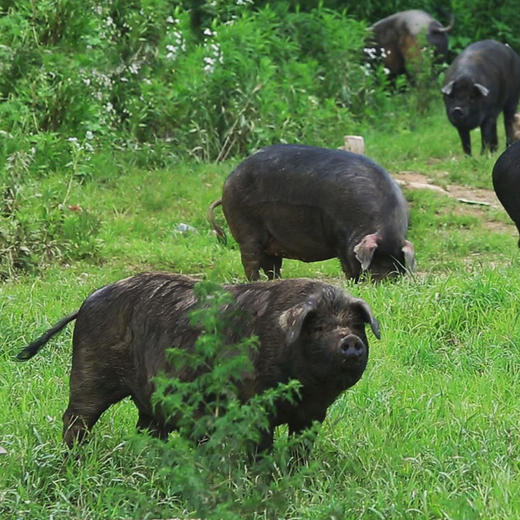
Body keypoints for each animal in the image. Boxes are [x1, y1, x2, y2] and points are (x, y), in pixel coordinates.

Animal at [16, 272, 378, 450]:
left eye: (356, 324)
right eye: (319, 328)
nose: (350, 341)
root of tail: (86, 302)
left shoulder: (313, 414)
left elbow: (301, 449)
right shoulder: (252, 406)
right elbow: (260, 446)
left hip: (148, 395)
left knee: (147, 427)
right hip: (89, 371)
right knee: (76, 417)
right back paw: (74, 457)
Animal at [207, 143, 414, 280]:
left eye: (397, 265)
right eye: (374, 260)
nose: (384, 282)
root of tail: (226, 185)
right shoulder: (340, 241)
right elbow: (348, 267)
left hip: (271, 241)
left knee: (272, 266)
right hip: (246, 229)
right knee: (250, 261)